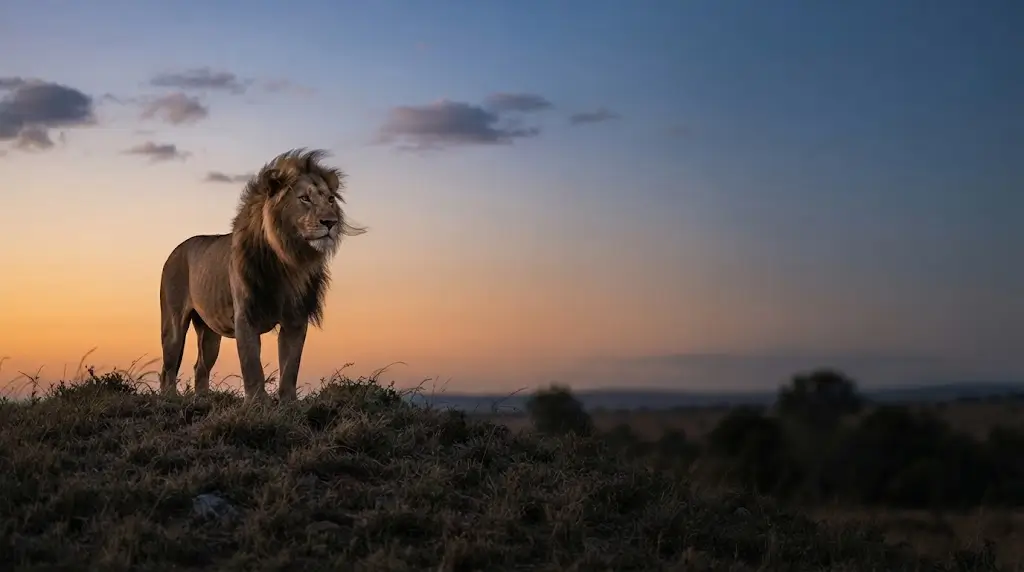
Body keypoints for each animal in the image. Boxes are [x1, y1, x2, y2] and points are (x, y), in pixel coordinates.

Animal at [158, 148, 366, 402]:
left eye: (330, 199)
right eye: (304, 198)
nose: (330, 222)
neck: (289, 260)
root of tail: (175, 250)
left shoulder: (296, 319)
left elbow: (290, 366)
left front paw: (288, 403)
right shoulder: (245, 316)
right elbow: (252, 366)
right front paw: (256, 403)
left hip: (209, 332)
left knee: (200, 366)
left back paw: (203, 400)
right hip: (173, 323)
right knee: (168, 368)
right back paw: (170, 399)